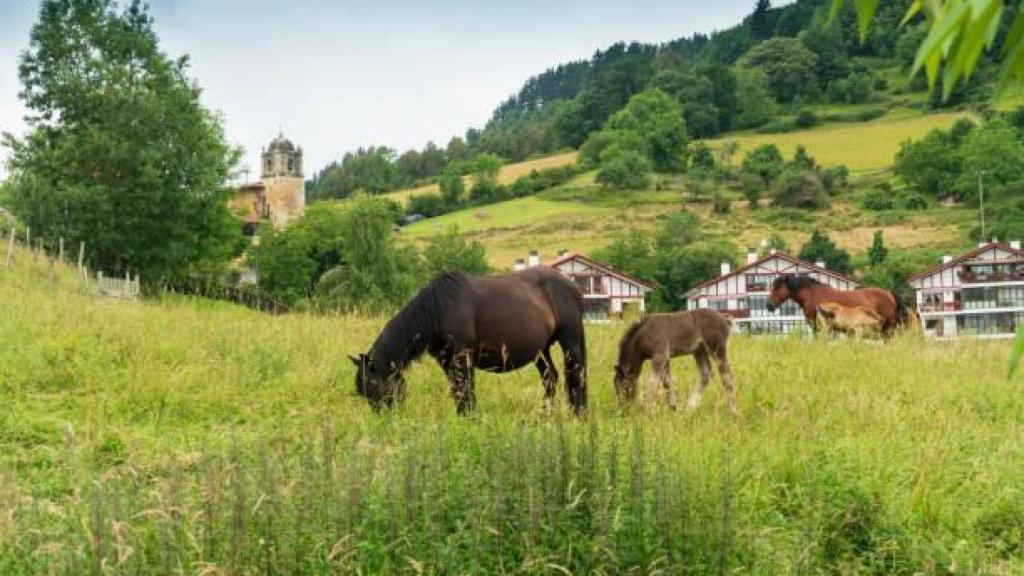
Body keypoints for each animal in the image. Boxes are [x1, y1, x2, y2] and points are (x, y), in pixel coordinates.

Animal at [349, 267, 587, 416]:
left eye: (374, 384)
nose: (384, 419)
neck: (437, 309)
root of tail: (573, 285)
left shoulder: (463, 357)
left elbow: (466, 391)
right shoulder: (446, 362)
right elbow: (458, 392)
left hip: (570, 341)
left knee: (576, 376)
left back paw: (577, 415)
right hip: (541, 350)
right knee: (550, 378)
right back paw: (546, 415)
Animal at [767, 274, 913, 336]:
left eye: (777, 287)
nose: (769, 305)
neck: (813, 295)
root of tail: (889, 294)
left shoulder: (819, 326)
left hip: (887, 328)